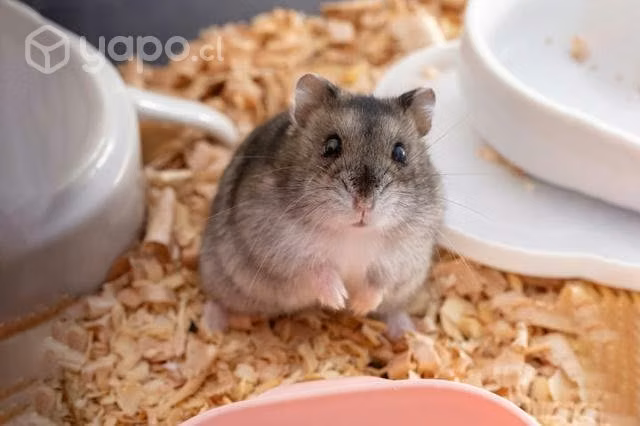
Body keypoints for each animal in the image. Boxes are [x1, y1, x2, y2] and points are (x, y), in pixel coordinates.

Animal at [199, 73, 443, 338]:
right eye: (331, 146)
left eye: (400, 152)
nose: (364, 204)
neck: (353, 234)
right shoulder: (281, 249)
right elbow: (315, 270)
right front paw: (339, 300)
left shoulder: (403, 258)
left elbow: (380, 283)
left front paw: (357, 306)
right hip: (220, 275)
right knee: (219, 299)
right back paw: (211, 327)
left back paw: (406, 332)